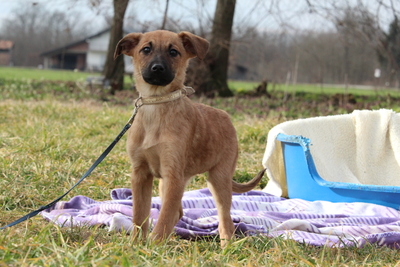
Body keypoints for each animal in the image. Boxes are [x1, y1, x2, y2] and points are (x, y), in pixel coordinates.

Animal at [114, 29, 264, 247]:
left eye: (174, 52)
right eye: (146, 49)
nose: (157, 69)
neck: (157, 105)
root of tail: (226, 116)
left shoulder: (172, 175)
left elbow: (163, 219)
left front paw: (152, 248)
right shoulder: (141, 174)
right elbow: (139, 216)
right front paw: (135, 246)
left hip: (219, 179)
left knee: (225, 219)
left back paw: (226, 246)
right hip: (168, 183)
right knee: (177, 212)